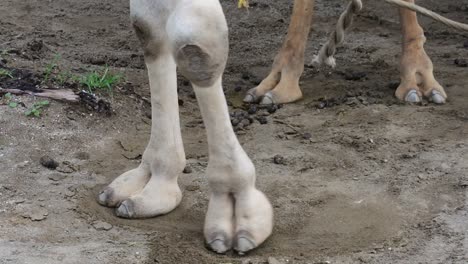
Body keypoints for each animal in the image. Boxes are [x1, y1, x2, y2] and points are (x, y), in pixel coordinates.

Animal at [97, 0, 448, 255]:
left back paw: (416, 78)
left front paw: (235, 202)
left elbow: (198, 44)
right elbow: (148, 26)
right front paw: (155, 181)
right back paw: (282, 81)